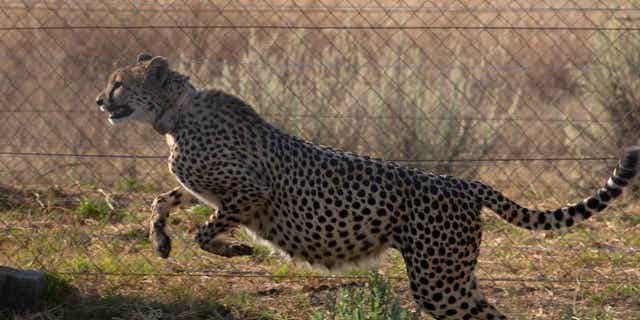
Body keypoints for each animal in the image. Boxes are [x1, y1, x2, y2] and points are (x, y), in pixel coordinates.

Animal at [96, 52, 640, 318]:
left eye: (119, 83)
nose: (100, 101)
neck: (174, 115)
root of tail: (465, 183)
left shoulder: (252, 194)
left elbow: (206, 230)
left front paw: (236, 252)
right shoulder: (206, 189)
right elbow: (163, 199)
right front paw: (160, 241)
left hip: (438, 280)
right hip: (452, 277)